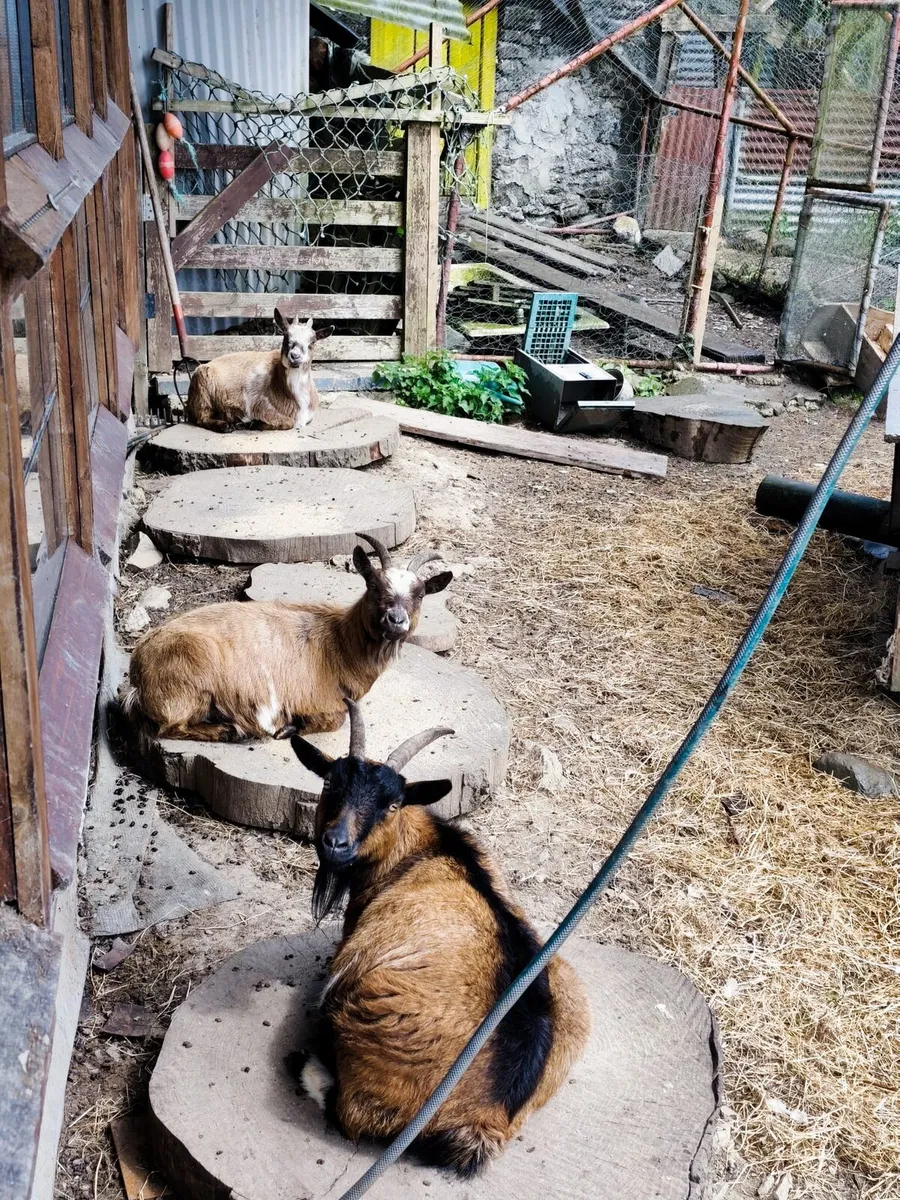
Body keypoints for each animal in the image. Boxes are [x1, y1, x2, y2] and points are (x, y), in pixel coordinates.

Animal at [121, 536, 452, 743]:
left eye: (420, 594)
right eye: (372, 585)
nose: (396, 620)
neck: (339, 644)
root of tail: (137, 672)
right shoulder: (322, 701)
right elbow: (335, 719)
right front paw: (288, 728)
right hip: (191, 685)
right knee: (170, 727)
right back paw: (229, 732)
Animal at [185, 310, 333, 432]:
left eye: (312, 342)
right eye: (286, 337)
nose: (295, 356)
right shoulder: (258, 404)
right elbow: (289, 422)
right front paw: (254, 423)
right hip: (203, 387)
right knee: (201, 417)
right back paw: (226, 426)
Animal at [290, 700, 591, 1177]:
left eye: (393, 804)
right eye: (330, 782)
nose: (335, 843)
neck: (425, 847)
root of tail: (484, 1118)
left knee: (348, 1113)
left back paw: (307, 1066)